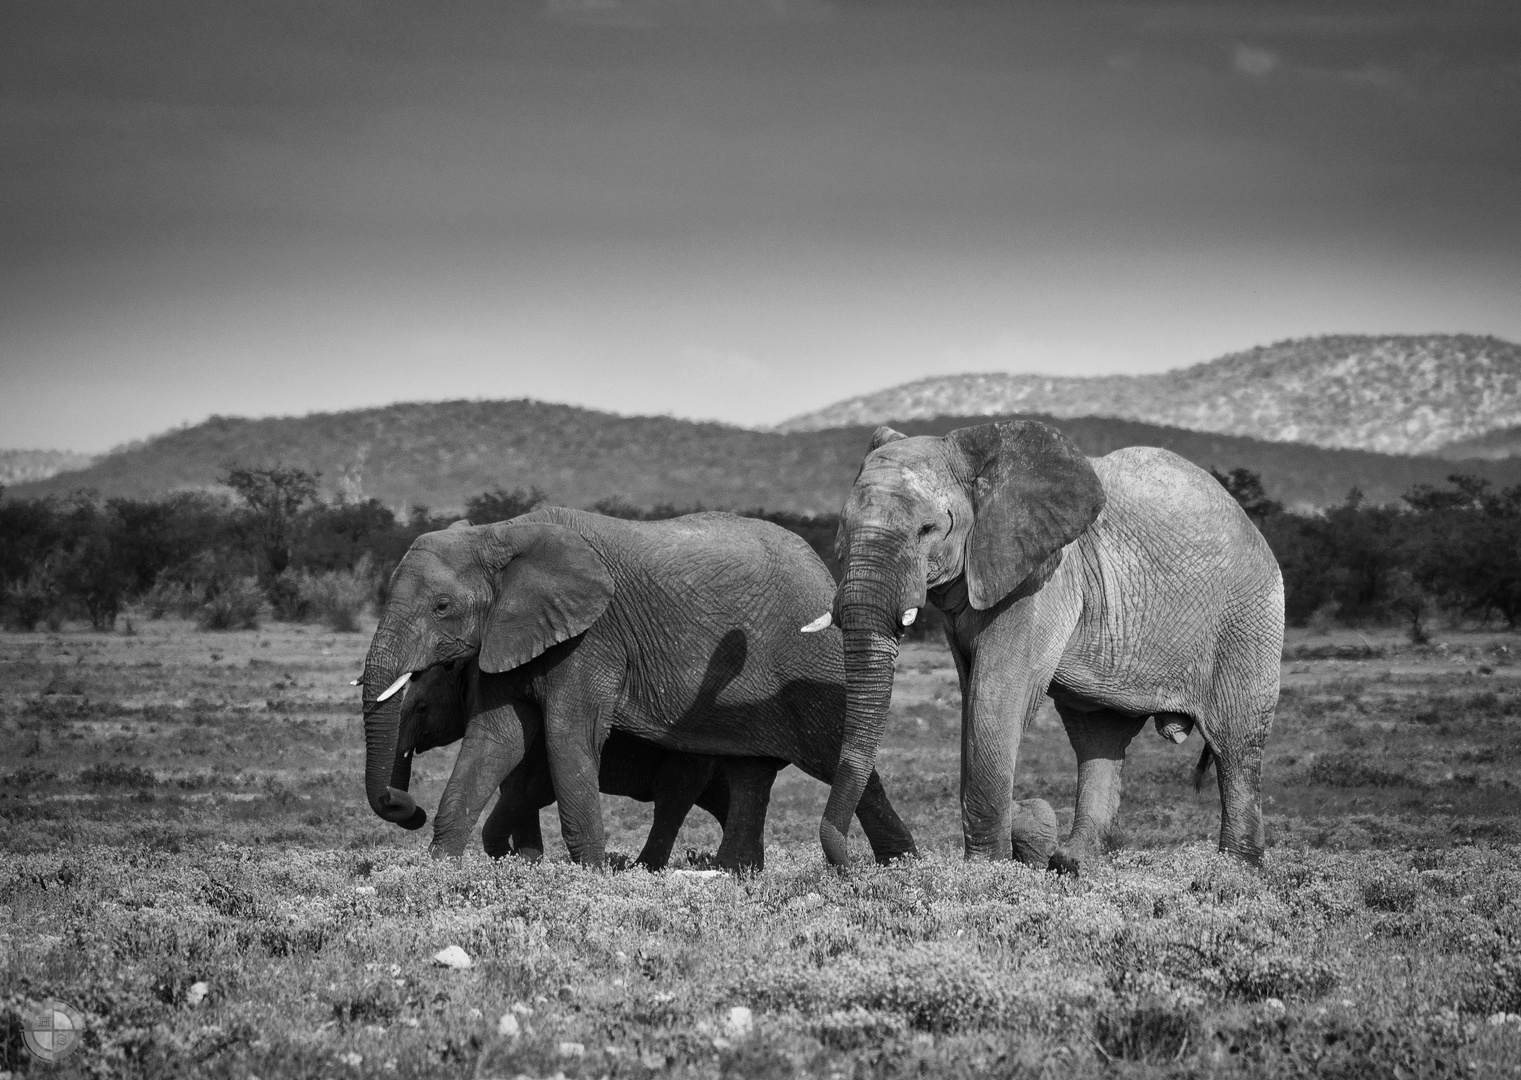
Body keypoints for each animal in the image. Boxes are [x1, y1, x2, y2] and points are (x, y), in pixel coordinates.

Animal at [395, 657, 772, 876]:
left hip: (689, 754)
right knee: (722, 797)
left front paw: (517, 861)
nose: (416, 812)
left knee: (673, 800)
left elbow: (529, 790)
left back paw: (644, 869)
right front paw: (525, 862)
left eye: (422, 708)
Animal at [809, 419, 1283, 876]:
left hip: (1248, 617)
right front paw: (1014, 842)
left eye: (929, 529)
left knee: (1236, 743)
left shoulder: (1043, 579)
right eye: (841, 529)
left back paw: (1232, 872)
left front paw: (987, 870)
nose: (850, 867)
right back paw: (1073, 865)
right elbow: (971, 697)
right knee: (1098, 740)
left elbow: (994, 695)